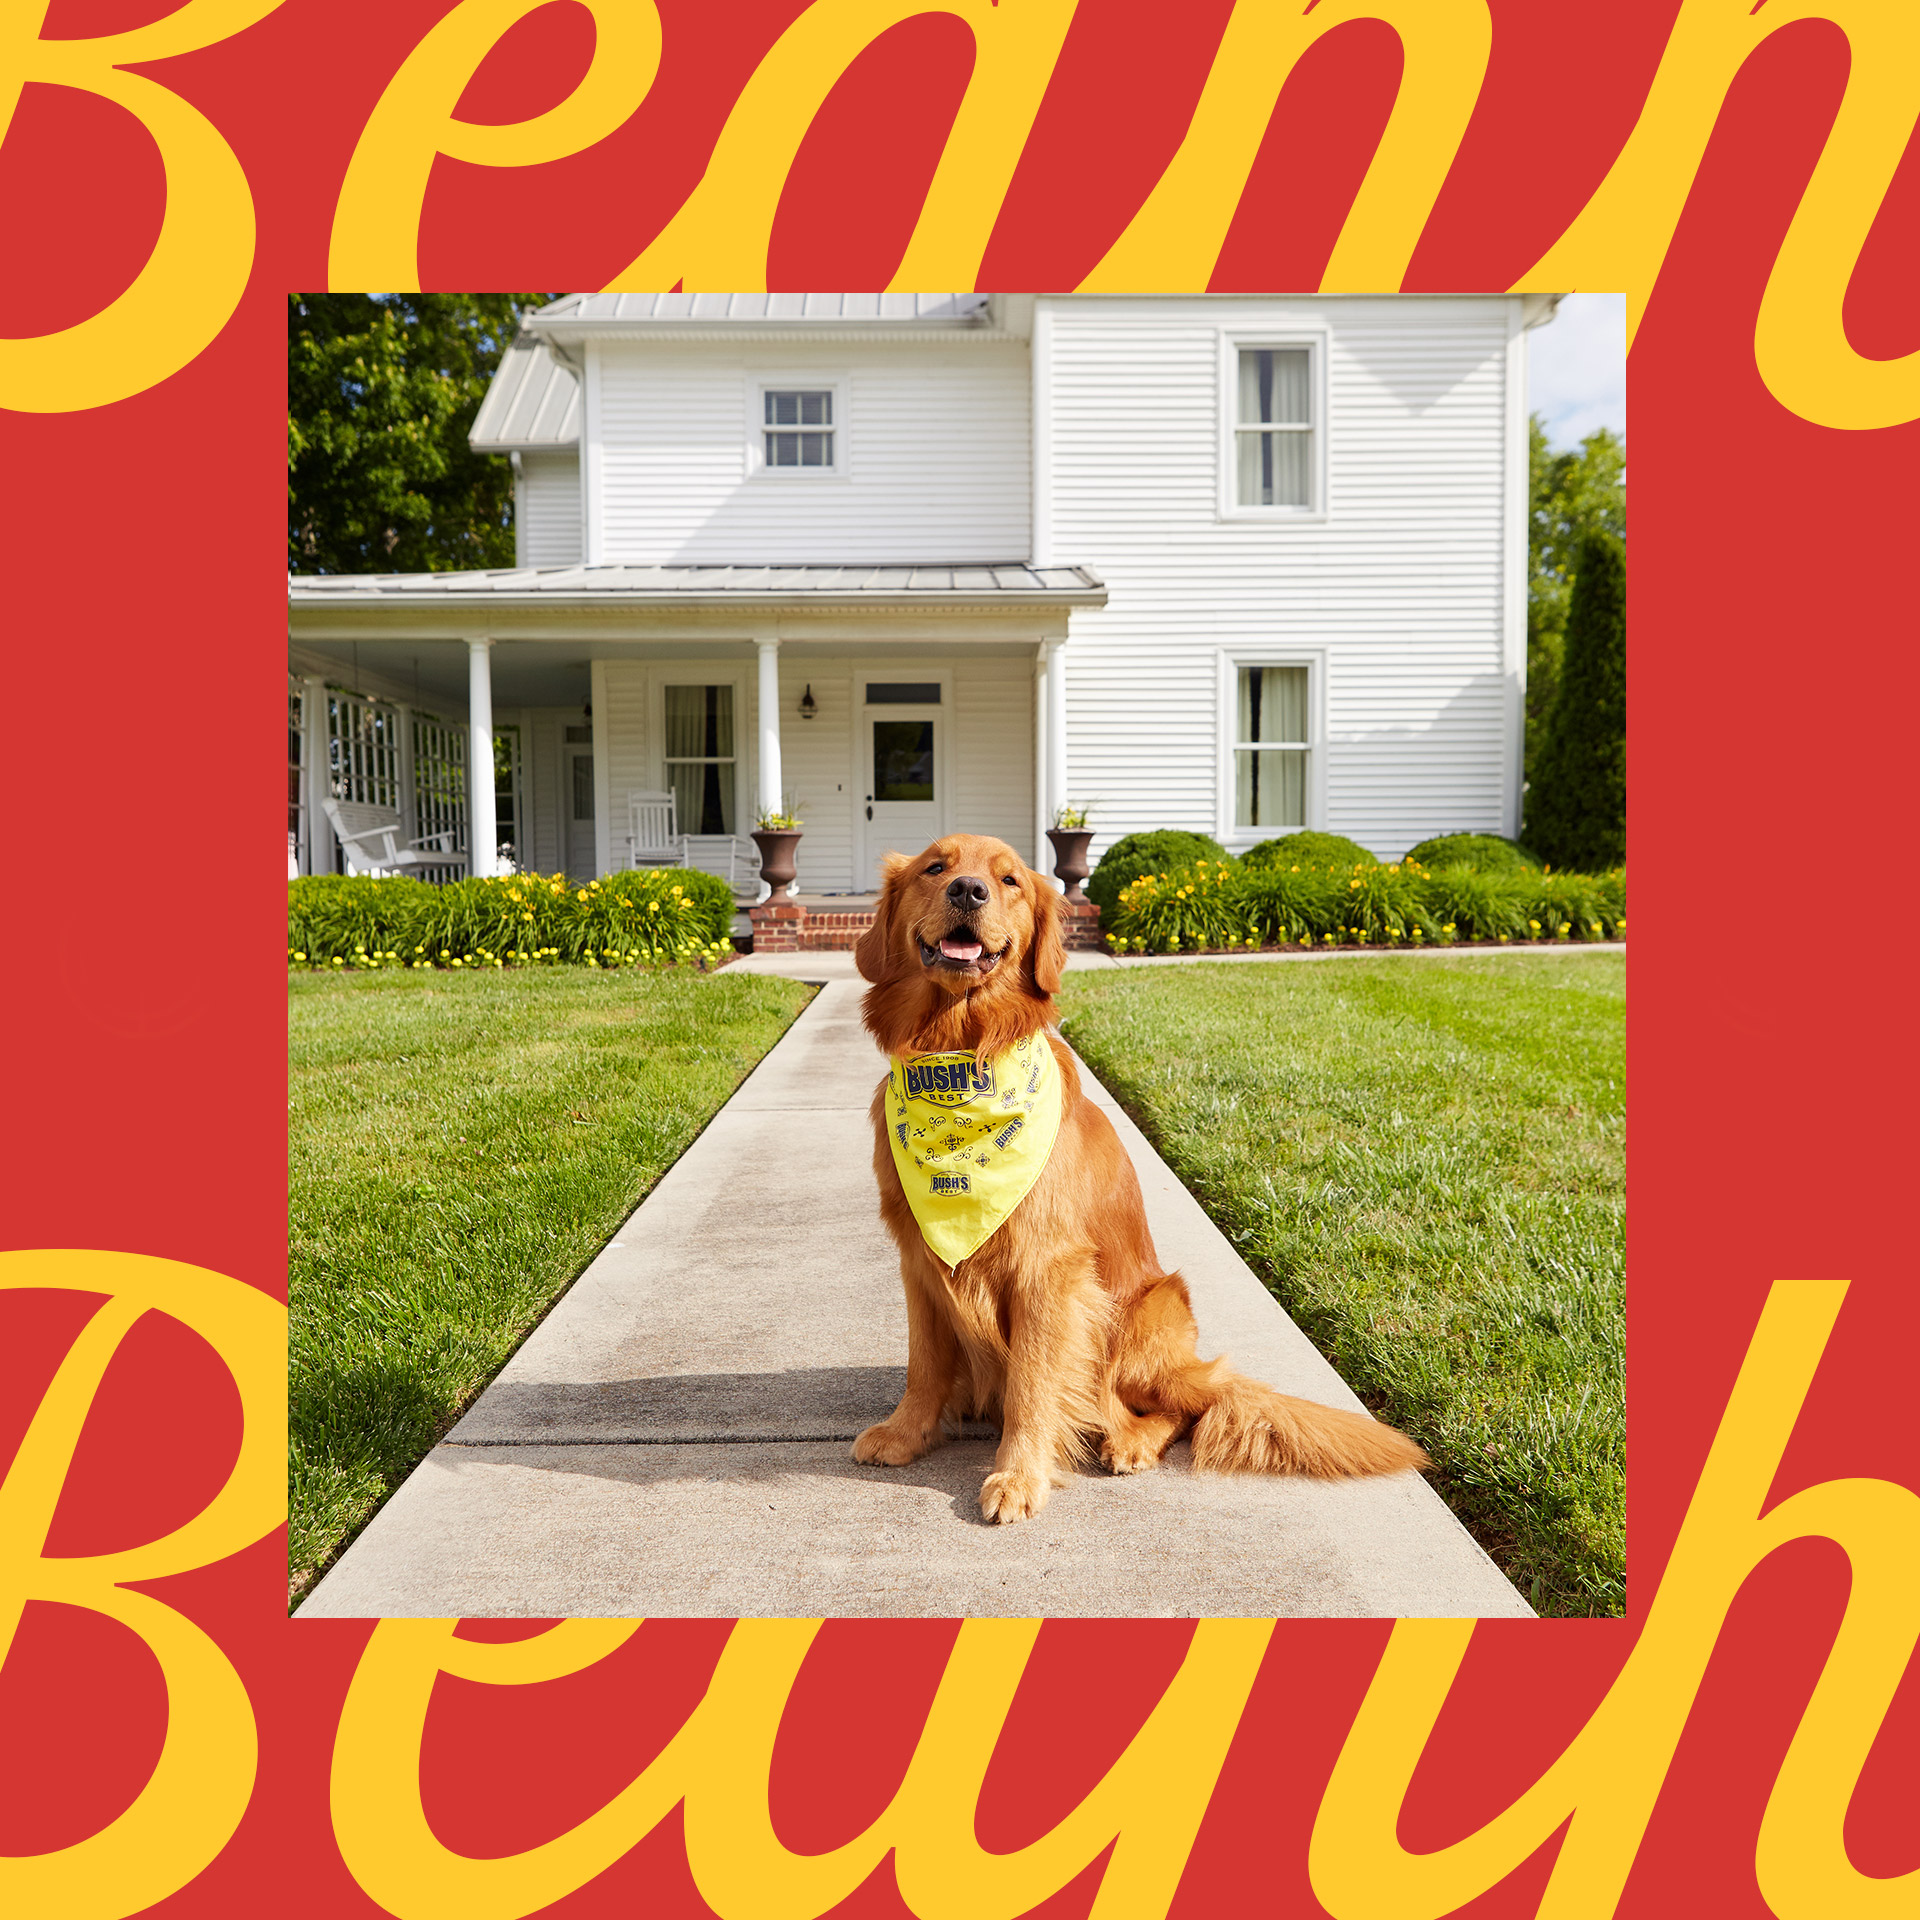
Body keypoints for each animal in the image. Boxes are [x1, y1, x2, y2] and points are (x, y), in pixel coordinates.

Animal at [856, 833, 1428, 1520]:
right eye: (934, 868)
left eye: (1010, 879)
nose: (969, 890)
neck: (958, 1058)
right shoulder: (921, 1260)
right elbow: (923, 1364)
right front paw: (906, 1432)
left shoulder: (1047, 1267)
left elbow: (1032, 1384)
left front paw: (1018, 1476)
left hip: (1144, 1314)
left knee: (1178, 1409)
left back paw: (1130, 1442)